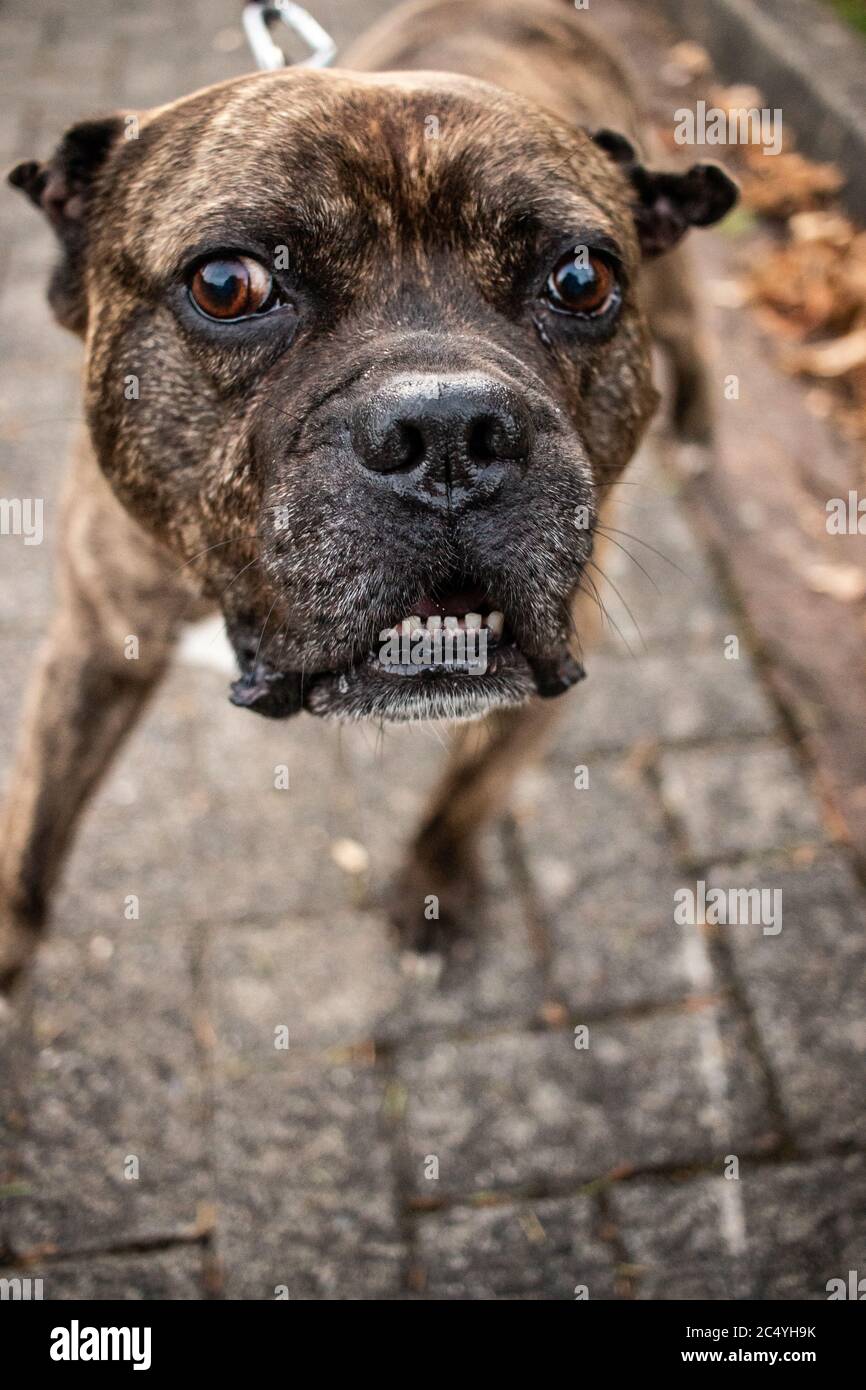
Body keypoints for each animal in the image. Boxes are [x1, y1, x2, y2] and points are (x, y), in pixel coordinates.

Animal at [0, 0, 733, 989]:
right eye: (226, 285)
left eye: (583, 279)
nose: (451, 431)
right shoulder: (91, 645)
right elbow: (34, 831)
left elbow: (469, 790)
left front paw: (434, 884)